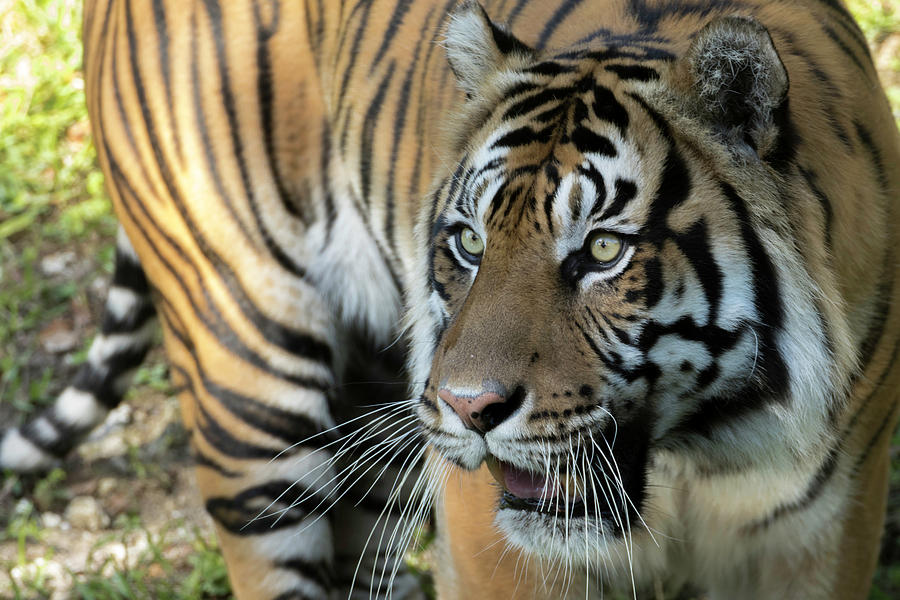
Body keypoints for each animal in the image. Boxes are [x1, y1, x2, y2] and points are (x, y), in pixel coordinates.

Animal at [1, 0, 900, 596]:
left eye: (603, 251)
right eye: (470, 242)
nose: (468, 409)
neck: (688, 456)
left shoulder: (826, 534)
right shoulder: (487, 534)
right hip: (248, 375)